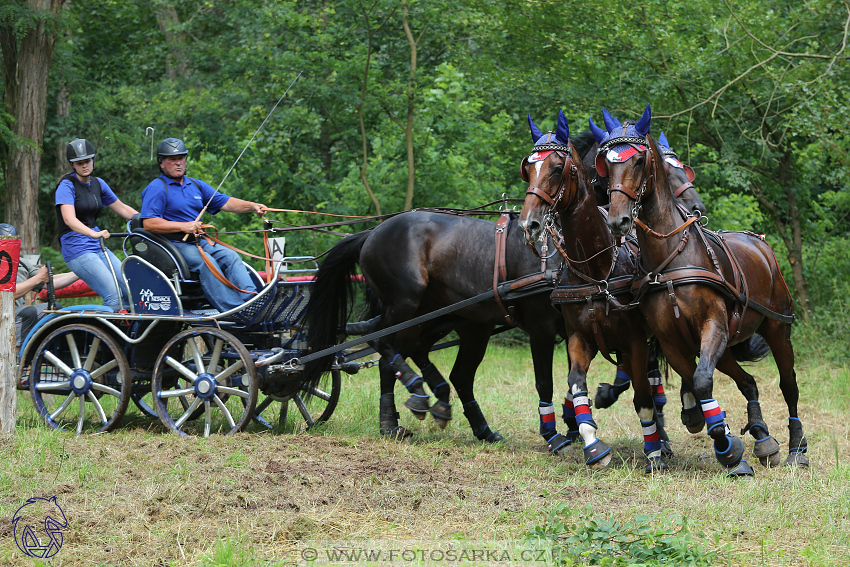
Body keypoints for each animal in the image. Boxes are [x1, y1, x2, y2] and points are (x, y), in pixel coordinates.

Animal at [596, 103, 808, 474]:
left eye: (639, 160)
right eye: (606, 163)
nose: (618, 220)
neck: (671, 258)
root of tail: (760, 243)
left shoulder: (713, 325)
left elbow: (701, 381)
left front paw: (727, 449)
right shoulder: (672, 341)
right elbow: (696, 381)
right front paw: (717, 434)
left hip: (777, 328)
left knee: (788, 384)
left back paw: (797, 446)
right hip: (726, 346)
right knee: (747, 381)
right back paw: (762, 437)